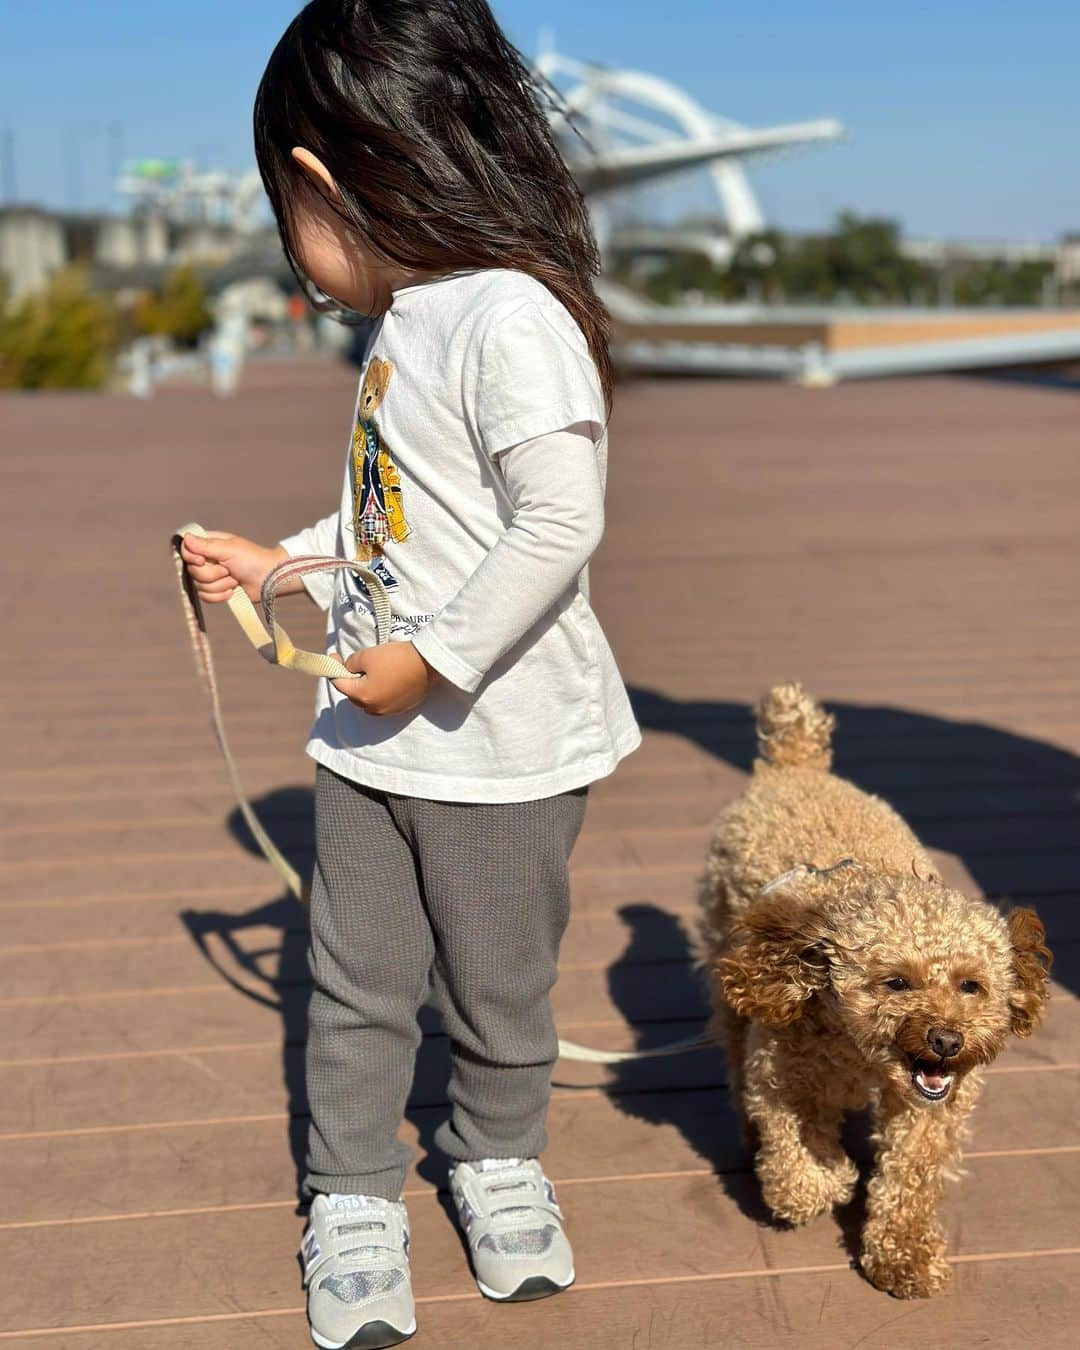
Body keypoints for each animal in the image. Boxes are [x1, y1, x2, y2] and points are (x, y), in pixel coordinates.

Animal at [696, 685, 1053, 1296]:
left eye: (971, 985)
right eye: (896, 983)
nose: (946, 1041)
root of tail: (794, 764)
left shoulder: (929, 1110)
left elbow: (910, 1177)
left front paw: (903, 1254)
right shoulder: (782, 1076)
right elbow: (797, 1170)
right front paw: (832, 1175)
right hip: (729, 964)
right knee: (735, 1050)